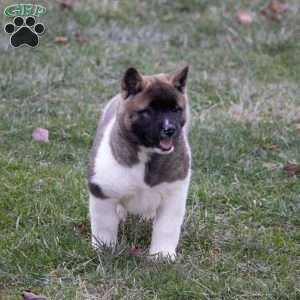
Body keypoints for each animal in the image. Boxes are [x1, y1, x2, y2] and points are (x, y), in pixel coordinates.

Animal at [88, 67, 191, 258]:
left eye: (176, 109)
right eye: (148, 111)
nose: (170, 129)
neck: (148, 155)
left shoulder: (173, 196)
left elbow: (167, 228)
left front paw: (162, 256)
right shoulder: (102, 191)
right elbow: (104, 225)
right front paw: (104, 249)